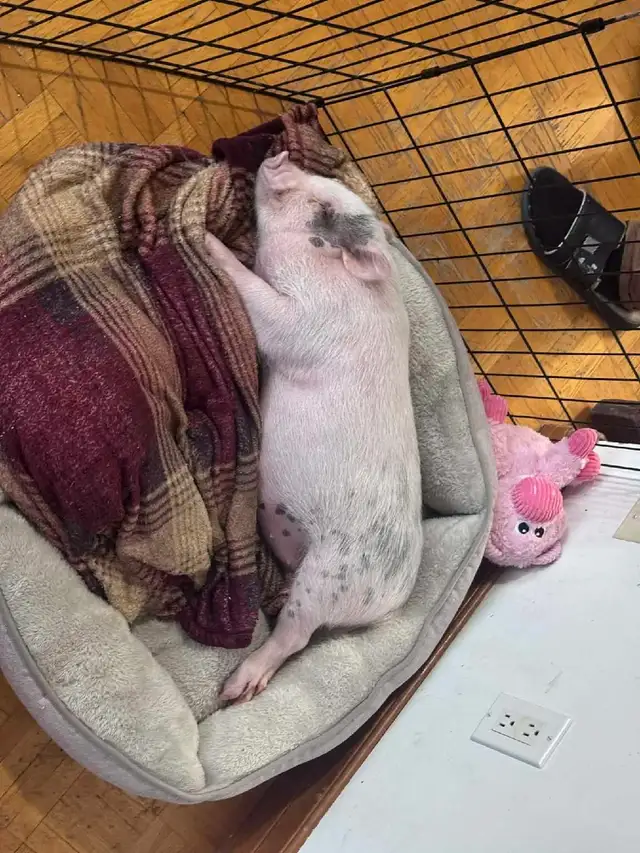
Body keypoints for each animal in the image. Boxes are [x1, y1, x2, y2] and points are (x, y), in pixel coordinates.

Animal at [204, 151, 423, 703]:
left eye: (322, 211)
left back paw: (235, 689)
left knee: (297, 636)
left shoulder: (302, 322)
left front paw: (208, 240)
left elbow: (259, 303)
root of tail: (390, 603)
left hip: (328, 576)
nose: (277, 156)